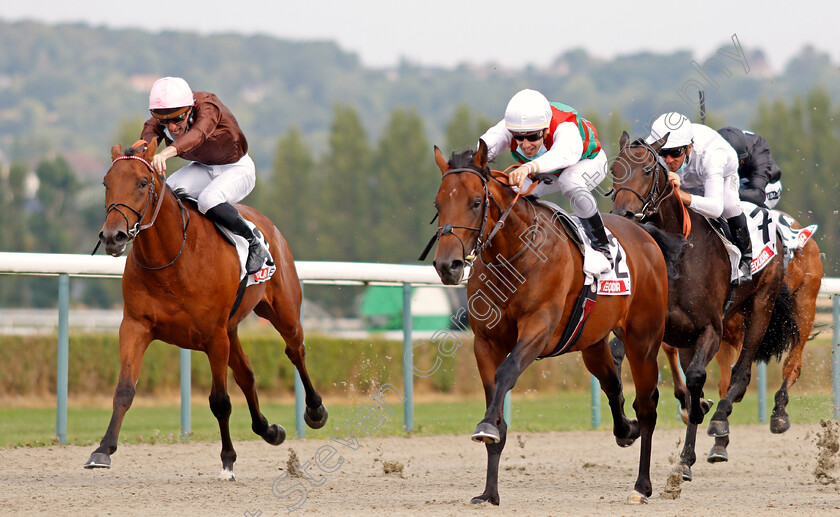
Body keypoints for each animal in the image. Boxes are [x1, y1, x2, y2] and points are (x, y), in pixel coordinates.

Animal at [88, 141, 328, 480]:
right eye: (106, 182)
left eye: (143, 182)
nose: (112, 236)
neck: (173, 260)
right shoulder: (135, 325)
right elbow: (124, 389)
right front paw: (102, 449)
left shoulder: (214, 337)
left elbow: (220, 401)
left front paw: (227, 461)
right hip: (232, 329)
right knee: (247, 374)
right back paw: (268, 430)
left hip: (283, 312)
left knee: (295, 350)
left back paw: (315, 410)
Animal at [430, 140, 680, 504]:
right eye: (438, 204)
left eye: (476, 202)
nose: (447, 265)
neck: (515, 254)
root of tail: (645, 235)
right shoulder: (485, 343)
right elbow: (495, 400)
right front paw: (489, 491)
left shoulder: (537, 330)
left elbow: (506, 373)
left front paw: (486, 428)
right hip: (592, 344)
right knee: (613, 386)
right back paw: (626, 430)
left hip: (643, 340)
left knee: (647, 406)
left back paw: (642, 485)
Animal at [608, 132, 796, 480]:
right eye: (614, 170)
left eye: (647, 170)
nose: (623, 216)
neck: (676, 253)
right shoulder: (656, 329)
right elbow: (622, 363)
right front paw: (630, 427)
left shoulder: (711, 328)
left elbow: (696, 378)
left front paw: (701, 417)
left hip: (761, 306)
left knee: (741, 372)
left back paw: (720, 417)